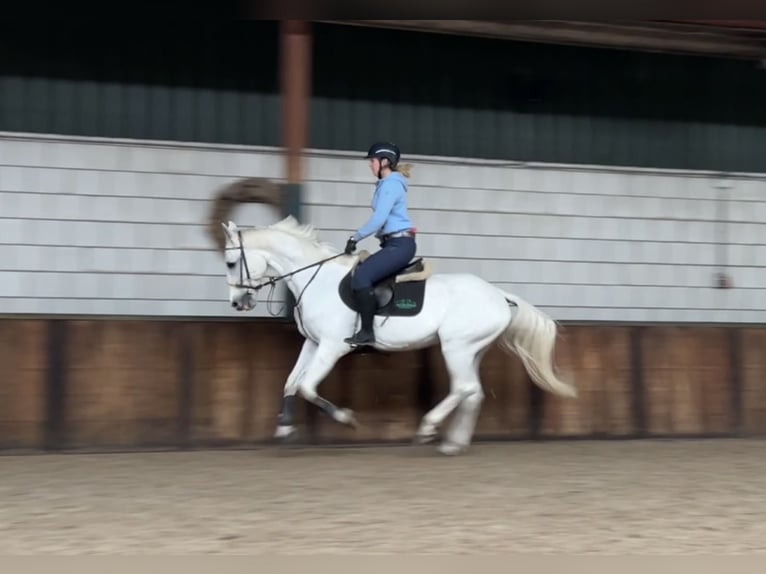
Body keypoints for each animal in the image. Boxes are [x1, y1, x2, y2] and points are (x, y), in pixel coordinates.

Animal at [220, 214, 576, 456]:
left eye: (230, 262)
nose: (238, 302)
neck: (315, 279)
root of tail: (499, 295)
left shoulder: (332, 347)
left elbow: (307, 387)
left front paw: (347, 419)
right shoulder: (313, 343)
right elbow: (291, 383)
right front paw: (283, 428)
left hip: (456, 347)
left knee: (463, 388)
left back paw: (429, 428)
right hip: (472, 350)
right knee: (473, 392)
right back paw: (453, 444)